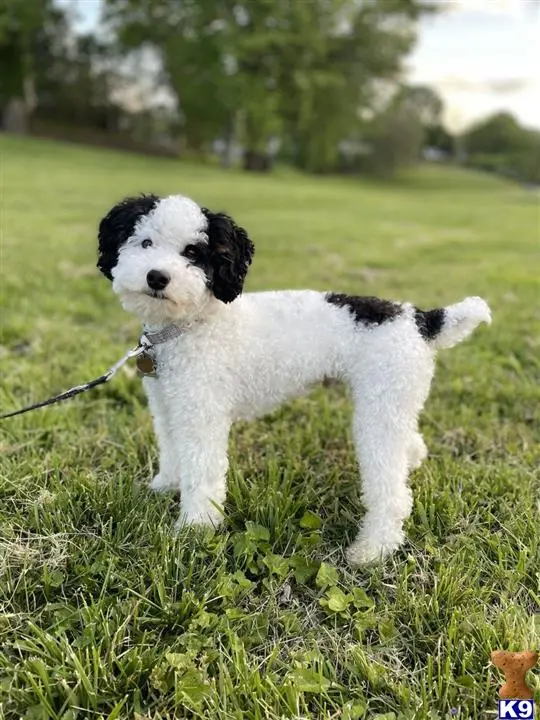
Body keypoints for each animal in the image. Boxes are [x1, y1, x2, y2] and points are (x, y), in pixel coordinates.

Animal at [96, 194, 490, 564]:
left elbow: (202, 474)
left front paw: (195, 530)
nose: (157, 277)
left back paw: (372, 550)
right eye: (145, 242)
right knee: (410, 444)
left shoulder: (202, 414)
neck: (196, 323)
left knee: (391, 492)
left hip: (379, 410)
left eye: (192, 252)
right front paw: (166, 485)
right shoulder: (168, 405)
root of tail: (421, 319)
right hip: (395, 401)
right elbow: (172, 450)